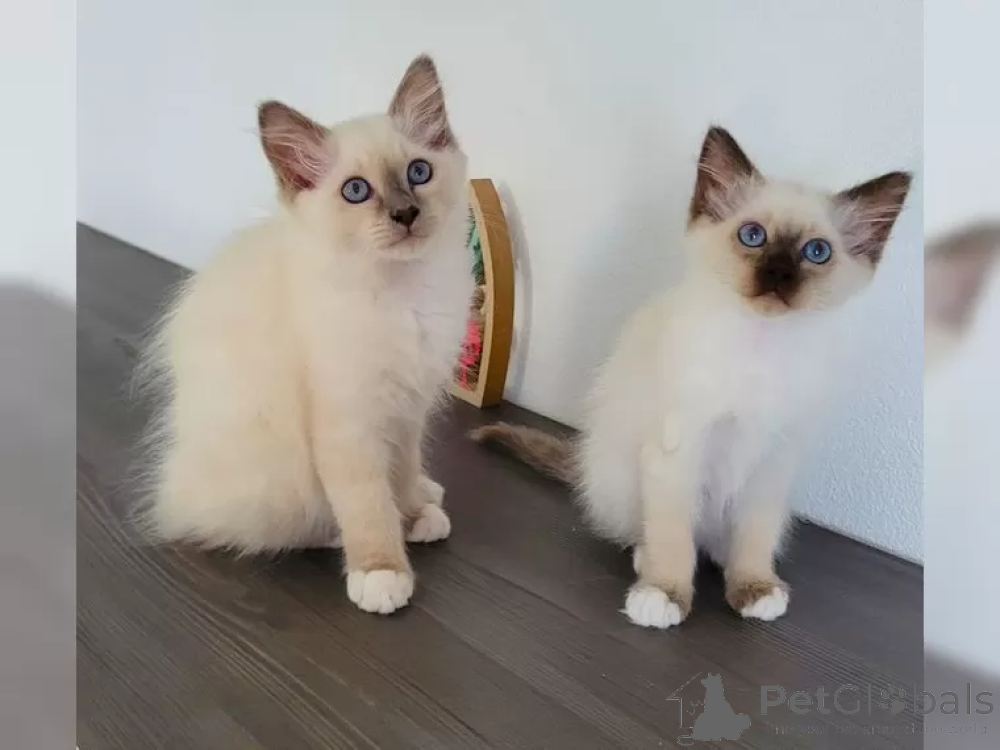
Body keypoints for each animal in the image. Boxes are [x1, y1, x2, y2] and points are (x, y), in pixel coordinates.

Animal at [137, 55, 474, 615]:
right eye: (356, 191)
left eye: (418, 173)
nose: (405, 213)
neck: (401, 293)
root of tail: (175, 487)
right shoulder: (348, 422)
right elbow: (367, 503)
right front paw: (381, 571)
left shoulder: (407, 410)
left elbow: (401, 474)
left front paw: (411, 513)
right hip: (275, 472)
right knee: (275, 528)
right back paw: (336, 537)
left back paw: (428, 498)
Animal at [472, 126, 911, 628]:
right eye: (753, 236)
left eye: (816, 253)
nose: (778, 274)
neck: (760, 346)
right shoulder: (677, 455)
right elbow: (673, 538)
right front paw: (663, 595)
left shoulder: (772, 462)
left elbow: (755, 537)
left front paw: (754, 589)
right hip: (622, 477)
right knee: (652, 532)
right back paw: (646, 560)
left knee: (721, 537)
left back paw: (724, 555)